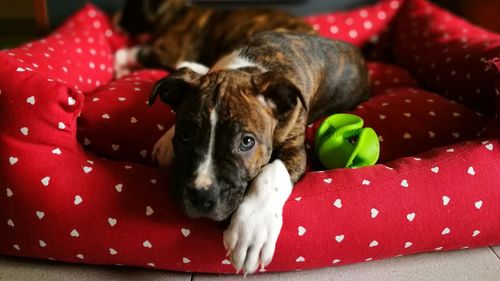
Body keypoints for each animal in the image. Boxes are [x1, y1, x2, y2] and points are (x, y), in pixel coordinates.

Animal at [114, 0, 314, 76]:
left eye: (131, 5)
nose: (116, 21)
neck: (175, 12)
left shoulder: (171, 52)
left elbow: (138, 51)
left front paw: (120, 61)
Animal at [146, 31, 370, 274]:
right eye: (185, 135)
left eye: (247, 142)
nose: (201, 195)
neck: (245, 68)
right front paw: (166, 142)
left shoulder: (295, 149)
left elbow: (272, 173)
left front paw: (252, 228)